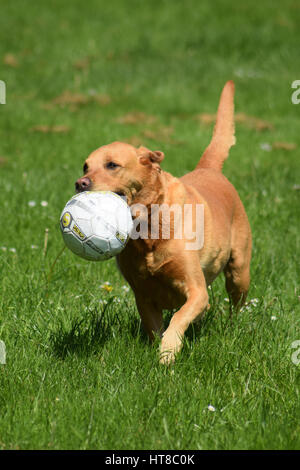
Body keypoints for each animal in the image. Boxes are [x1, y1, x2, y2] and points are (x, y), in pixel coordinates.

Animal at [75, 81, 251, 364]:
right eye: (85, 166)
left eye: (112, 164)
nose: (80, 183)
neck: (147, 230)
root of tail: (209, 169)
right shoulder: (143, 296)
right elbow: (154, 327)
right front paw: (159, 348)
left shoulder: (196, 290)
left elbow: (179, 317)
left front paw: (168, 351)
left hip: (239, 271)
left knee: (236, 304)